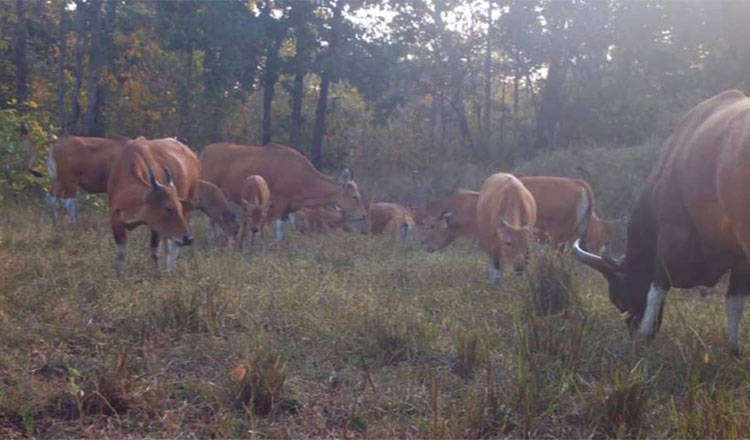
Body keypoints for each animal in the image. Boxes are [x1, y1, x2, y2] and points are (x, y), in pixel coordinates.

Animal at [106, 137, 200, 276]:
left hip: (187, 213)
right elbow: (121, 253)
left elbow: (155, 252)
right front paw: (120, 275)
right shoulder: (116, 220)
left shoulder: (155, 225)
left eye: (179, 206)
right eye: (168, 208)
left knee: (173, 247)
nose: (188, 238)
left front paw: (158, 275)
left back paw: (171, 270)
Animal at [198, 143, 366, 241]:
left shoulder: (288, 207)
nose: (363, 215)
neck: (300, 174)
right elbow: (279, 227)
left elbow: (283, 228)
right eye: (355, 196)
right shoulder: (280, 202)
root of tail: (205, 150)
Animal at [576, 89, 750, 354]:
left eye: (616, 298)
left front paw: (643, 335)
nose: (633, 329)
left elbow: (656, 286)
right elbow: (734, 303)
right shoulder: (739, 259)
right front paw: (735, 350)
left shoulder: (671, 235)